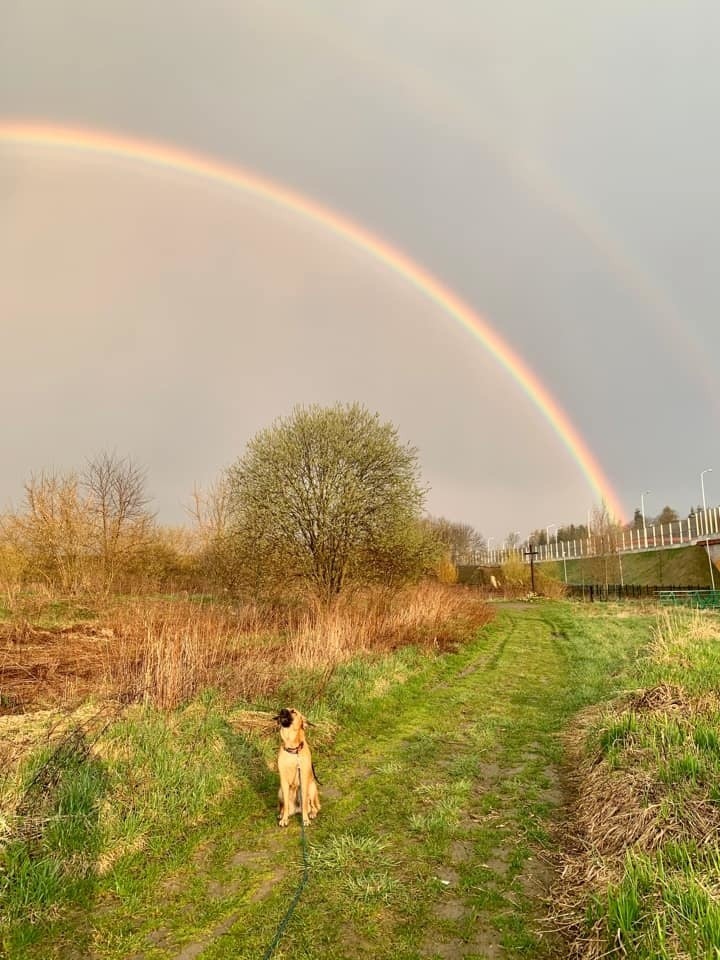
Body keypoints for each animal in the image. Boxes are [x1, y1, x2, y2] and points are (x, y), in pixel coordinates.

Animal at [272, 700, 320, 828]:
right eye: (284, 709)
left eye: (293, 711)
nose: (282, 710)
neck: (293, 750)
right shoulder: (283, 782)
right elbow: (285, 805)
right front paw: (284, 819)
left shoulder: (303, 780)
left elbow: (305, 804)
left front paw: (305, 820)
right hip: (280, 791)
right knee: (284, 806)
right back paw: (282, 814)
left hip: (312, 787)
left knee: (313, 806)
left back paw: (311, 813)